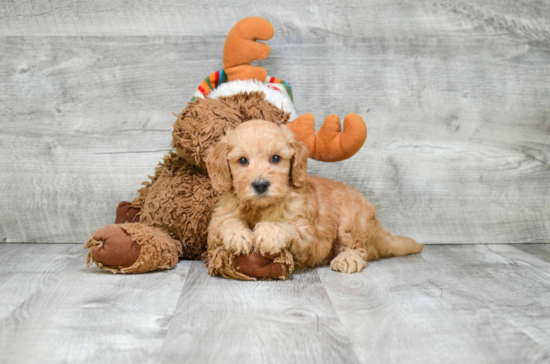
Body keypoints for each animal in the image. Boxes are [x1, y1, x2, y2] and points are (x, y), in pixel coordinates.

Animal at [205, 119, 424, 272]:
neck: (259, 206)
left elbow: (284, 225)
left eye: (275, 158)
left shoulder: (305, 233)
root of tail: (377, 226)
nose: (260, 185)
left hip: (353, 220)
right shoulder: (216, 224)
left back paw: (347, 259)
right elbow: (226, 223)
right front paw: (239, 235)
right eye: (242, 161)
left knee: (357, 247)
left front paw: (267, 233)